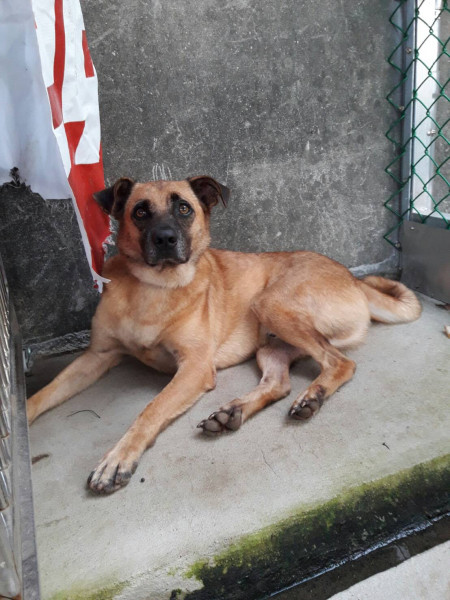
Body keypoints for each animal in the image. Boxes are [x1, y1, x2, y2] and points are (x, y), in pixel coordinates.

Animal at [27, 176, 422, 494]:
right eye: (140, 212)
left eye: (184, 208)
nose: (165, 238)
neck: (153, 287)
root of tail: (354, 278)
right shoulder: (96, 356)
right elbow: (43, 393)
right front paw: (23, 417)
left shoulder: (194, 368)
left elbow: (151, 409)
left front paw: (118, 458)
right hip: (271, 345)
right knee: (279, 382)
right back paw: (234, 412)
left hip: (271, 304)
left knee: (340, 363)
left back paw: (313, 396)